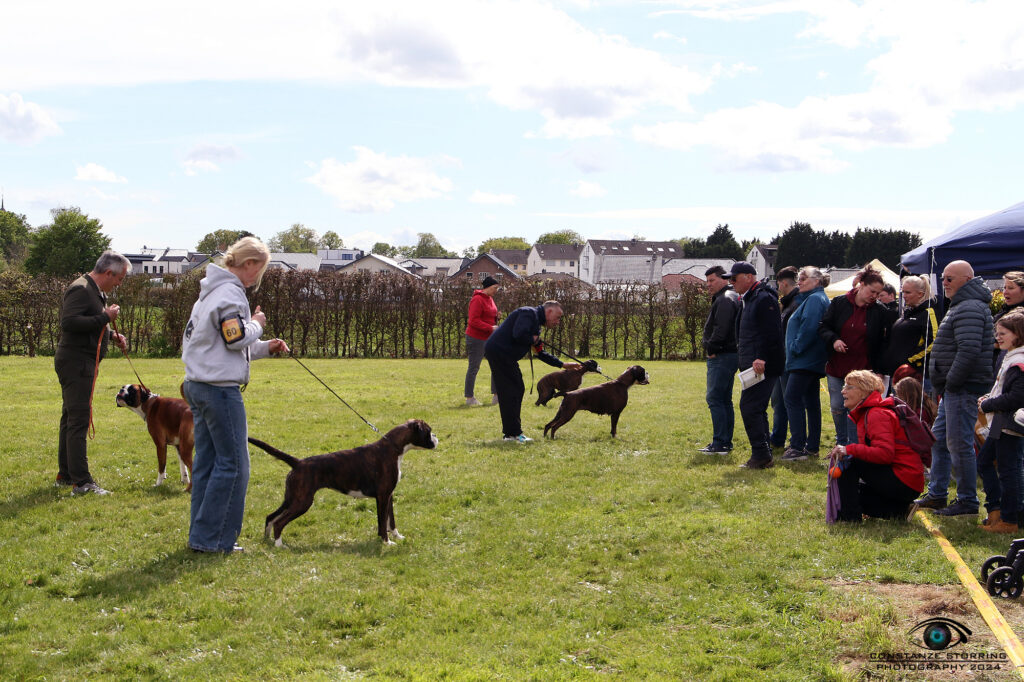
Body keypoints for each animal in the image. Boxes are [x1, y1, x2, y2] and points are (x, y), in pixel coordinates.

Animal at [251, 417, 440, 544]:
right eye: (428, 431)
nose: (436, 437)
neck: (393, 448)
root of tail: (298, 462)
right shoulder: (382, 497)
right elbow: (382, 522)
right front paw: (386, 542)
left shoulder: (389, 496)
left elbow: (390, 521)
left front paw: (397, 536)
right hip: (302, 502)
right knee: (279, 522)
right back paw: (279, 545)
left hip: (291, 498)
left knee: (271, 517)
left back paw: (268, 540)